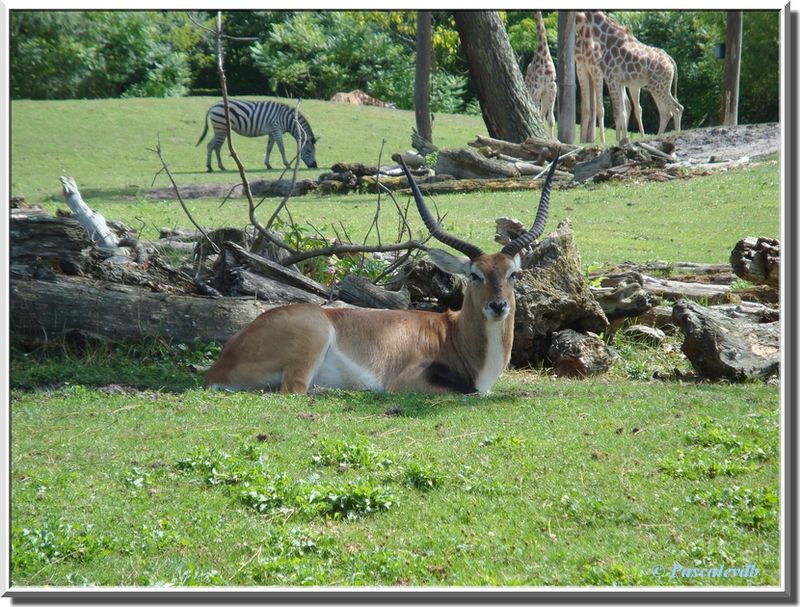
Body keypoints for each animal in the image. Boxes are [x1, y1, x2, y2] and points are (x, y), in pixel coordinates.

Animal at [203, 154, 560, 396]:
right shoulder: (409, 382)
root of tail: (221, 364)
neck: (454, 335)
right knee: (295, 390)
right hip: (310, 343)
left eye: (513, 274)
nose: (498, 306)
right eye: (475, 274)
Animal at [580, 10, 680, 144]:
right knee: (666, 112)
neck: (605, 38)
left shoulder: (611, 79)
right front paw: (623, 139)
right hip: (658, 87)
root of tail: (670, 60)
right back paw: (657, 136)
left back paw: (676, 134)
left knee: (677, 109)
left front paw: (621, 140)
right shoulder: (619, 82)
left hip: (659, 86)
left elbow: (618, 111)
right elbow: (623, 111)